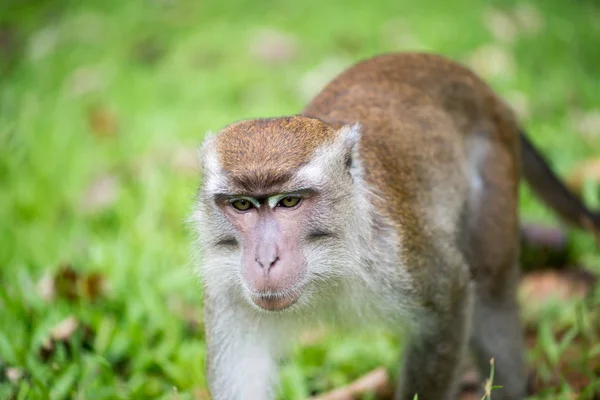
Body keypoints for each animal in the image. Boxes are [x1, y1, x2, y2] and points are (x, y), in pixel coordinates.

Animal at [193, 54, 600, 400]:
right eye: (242, 204)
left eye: (289, 202)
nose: (265, 259)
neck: (328, 264)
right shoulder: (227, 289)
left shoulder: (399, 253)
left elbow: (452, 302)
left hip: (495, 167)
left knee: (490, 292)